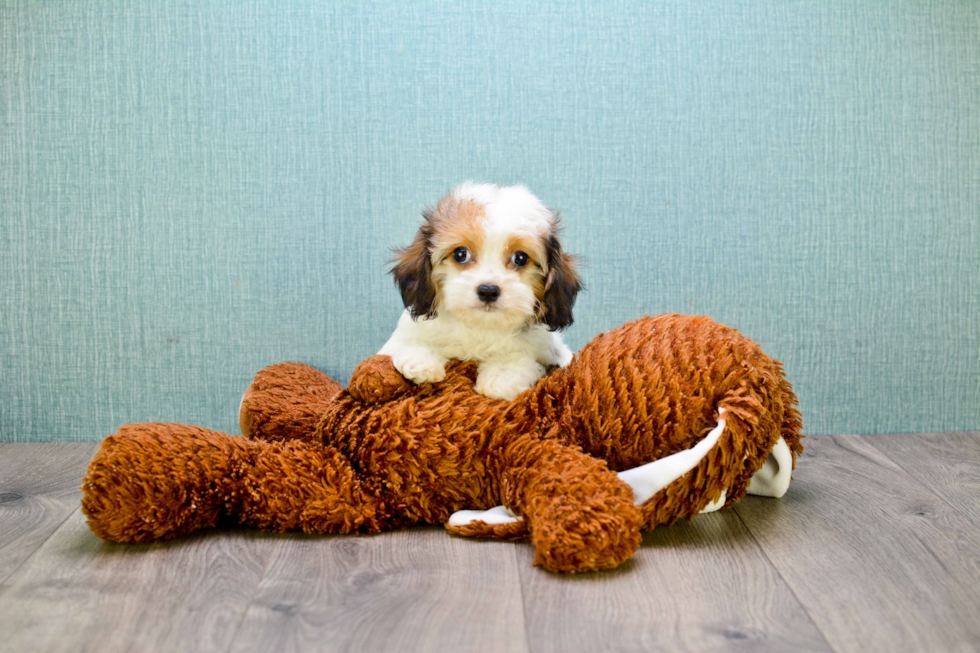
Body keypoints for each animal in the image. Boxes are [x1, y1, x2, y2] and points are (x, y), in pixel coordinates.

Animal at [378, 181, 580, 400]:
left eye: (520, 258)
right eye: (460, 254)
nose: (488, 290)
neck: (478, 326)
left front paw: (501, 376)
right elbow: (408, 342)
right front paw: (419, 358)